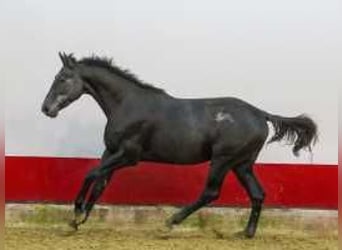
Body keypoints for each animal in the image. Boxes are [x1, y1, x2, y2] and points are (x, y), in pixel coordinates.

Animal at [42, 51, 318, 237]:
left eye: (63, 78)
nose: (46, 109)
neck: (127, 104)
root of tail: (261, 114)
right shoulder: (110, 151)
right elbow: (100, 182)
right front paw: (78, 220)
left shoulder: (128, 155)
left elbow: (91, 174)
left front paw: (77, 212)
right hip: (242, 164)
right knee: (258, 194)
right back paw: (246, 233)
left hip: (223, 159)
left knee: (211, 192)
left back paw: (171, 221)